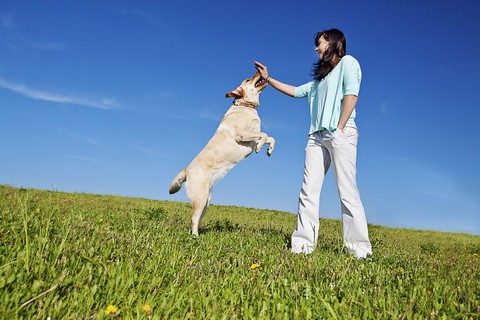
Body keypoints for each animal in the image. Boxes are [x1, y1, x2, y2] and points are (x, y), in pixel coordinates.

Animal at [168, 72, 274, 235]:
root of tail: (186, 170)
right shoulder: (242, 134)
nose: (258, 72)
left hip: (206, 200)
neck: (245, 105)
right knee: (193, 219)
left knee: (198, 218)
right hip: (200, 197)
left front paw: (269, 149)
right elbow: (264, 134)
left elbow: (270, 137)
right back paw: (195, 237)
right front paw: (261, 147)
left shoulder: (252, 136)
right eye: (248, 80)